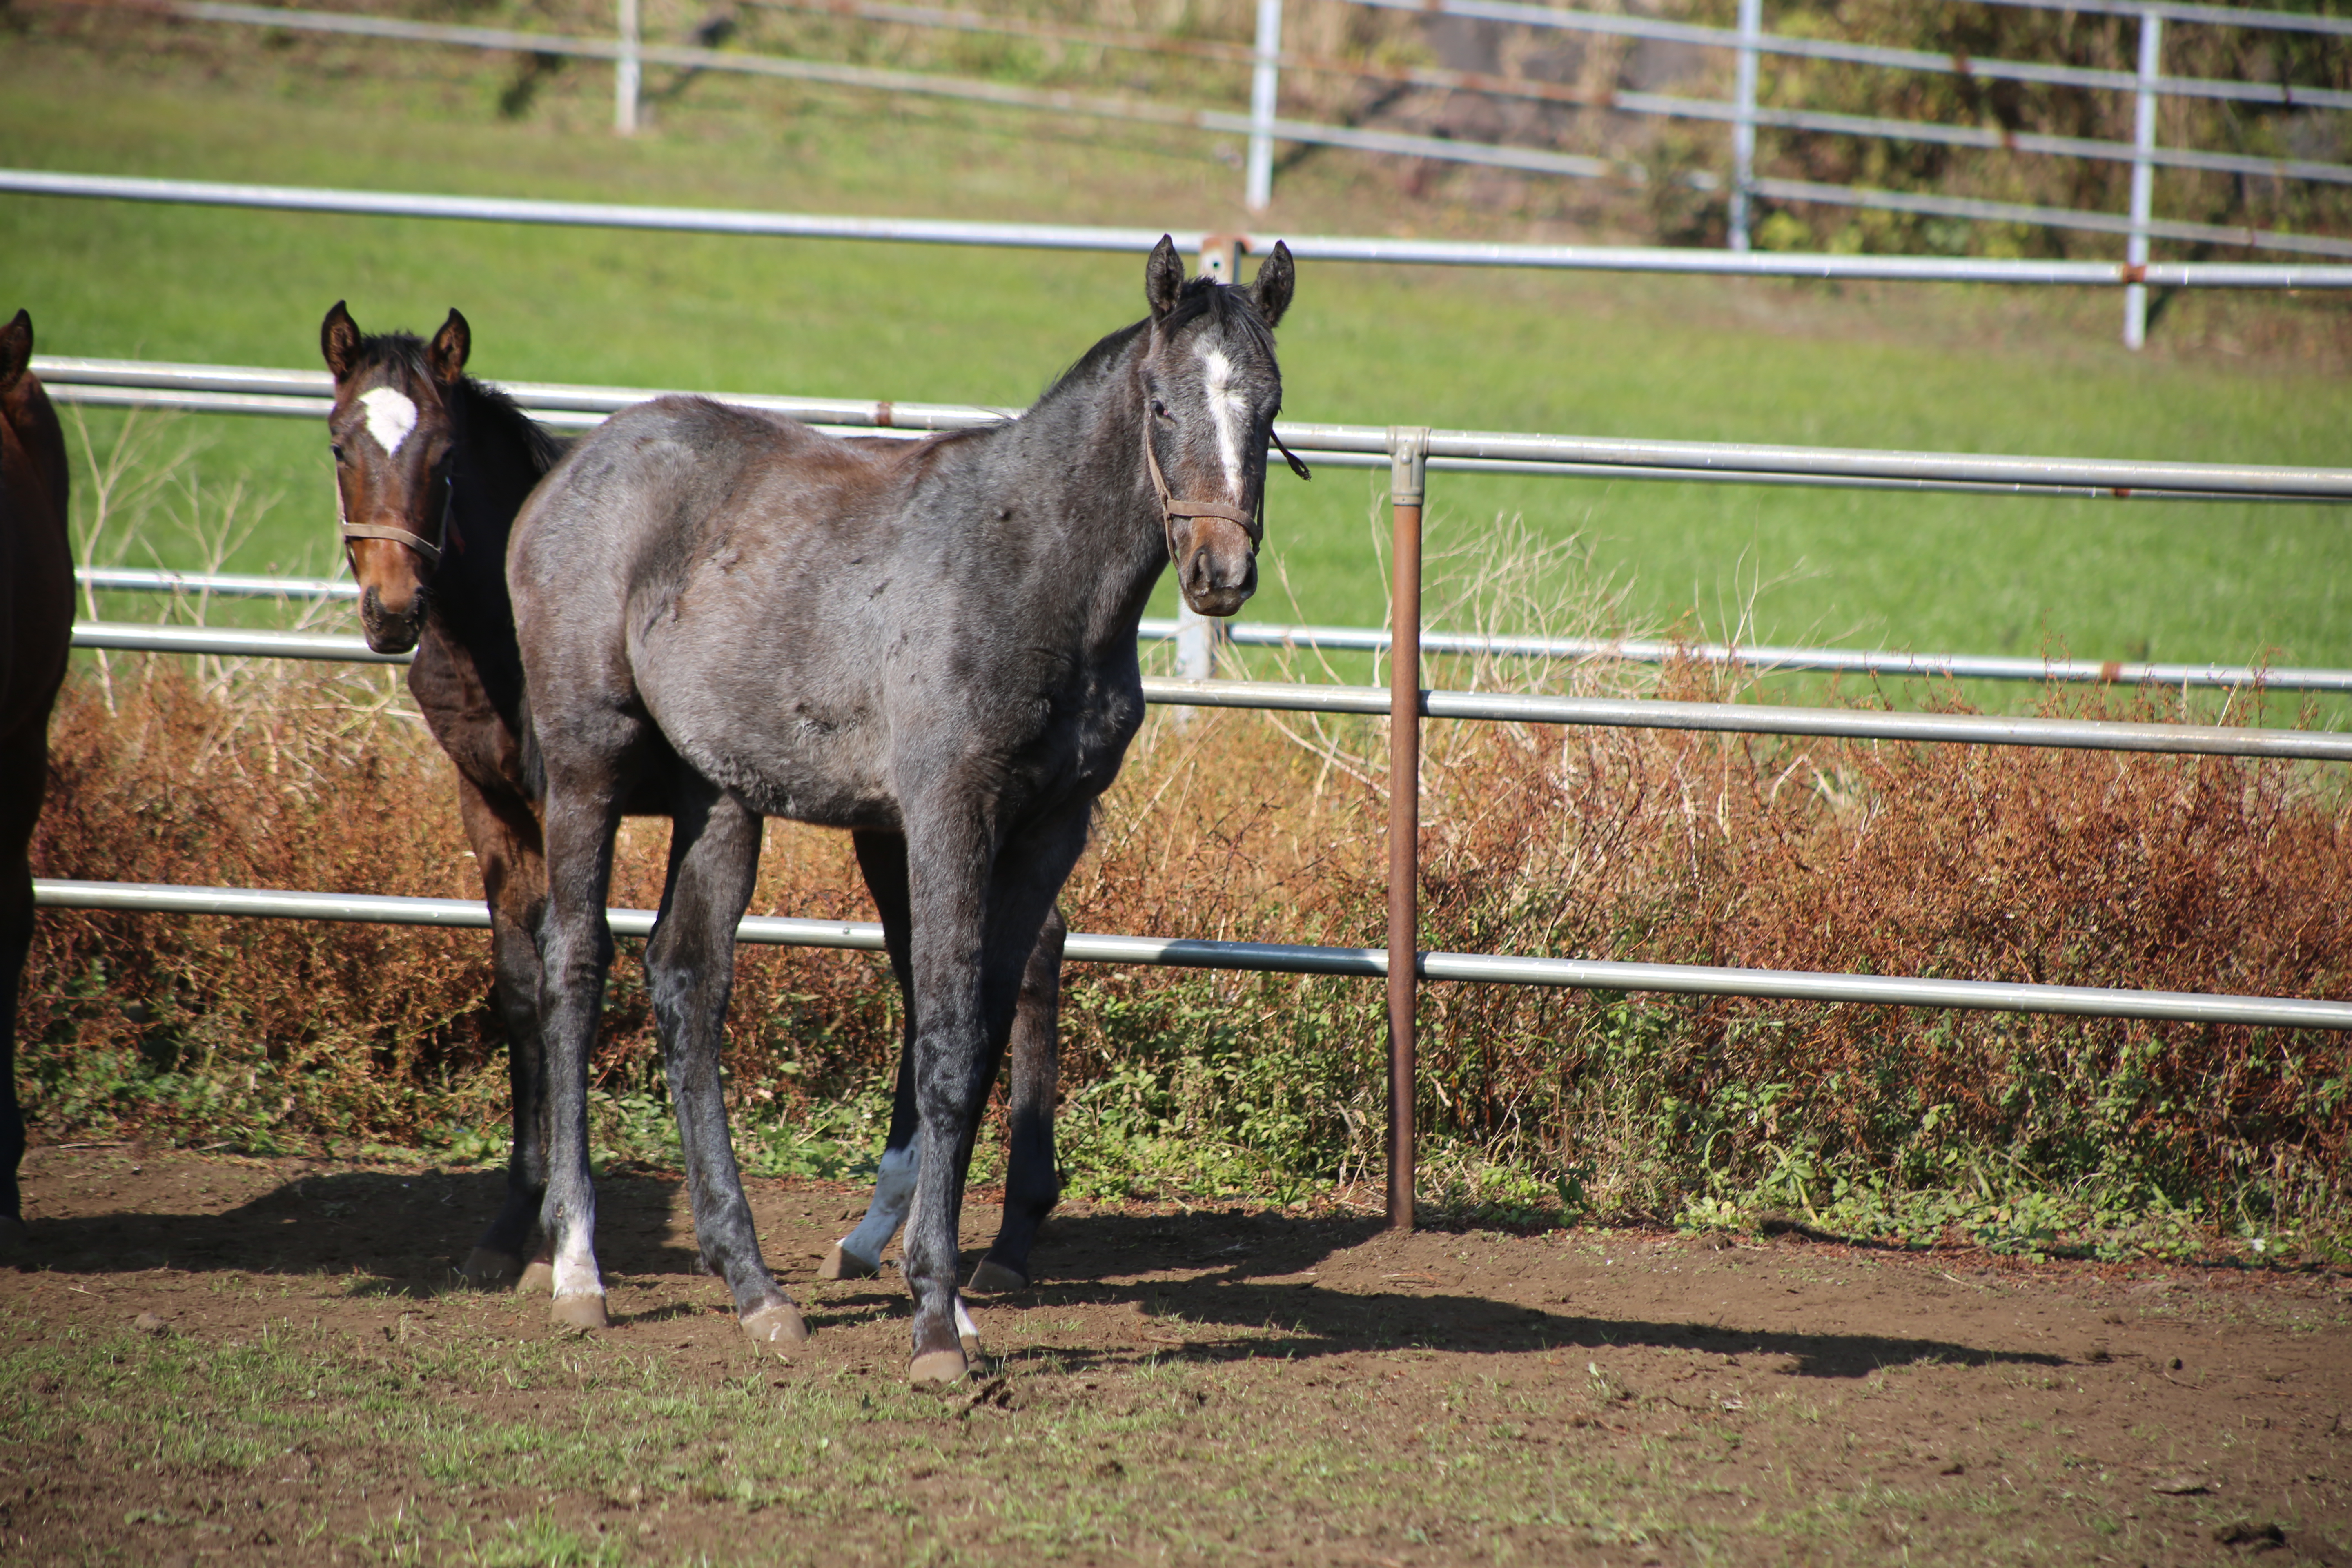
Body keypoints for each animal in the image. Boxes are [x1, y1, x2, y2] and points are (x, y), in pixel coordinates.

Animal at [320, 301, 1068, 1307]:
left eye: (442, 455)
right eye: (337, 443)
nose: (391, 610)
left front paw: (559, 1235)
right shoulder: (494, 806)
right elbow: (520, 987)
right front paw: (513, 1228)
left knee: (1017, 959)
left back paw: (1008, 1237)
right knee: (956, 967)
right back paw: (882, 1231)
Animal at [508, 240, 1307, 1382]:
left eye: (1269, 404)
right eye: (1160, 403)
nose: (1220, 571)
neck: (1032, 572)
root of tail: (574, 469)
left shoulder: (1048, 831)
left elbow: (982, 1037)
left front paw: (956, 1304)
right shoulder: (944, 815)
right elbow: (942, 1040)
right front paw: (934, 1324)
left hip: (722, 797)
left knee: (685, 982)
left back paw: (753, 1286)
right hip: (588, 764)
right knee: (575, 964)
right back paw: (579, 1269)